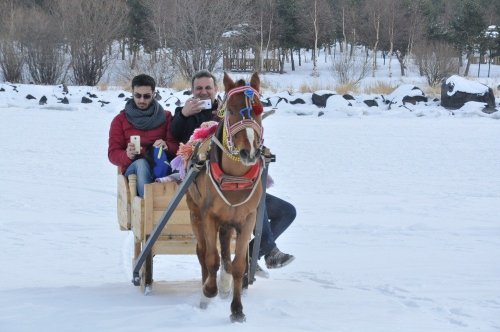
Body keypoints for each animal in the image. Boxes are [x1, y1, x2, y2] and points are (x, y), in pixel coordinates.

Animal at [187, 72, 266, 322]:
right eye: (230, 110)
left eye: (260, 109)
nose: (249, 152)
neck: (235, 178)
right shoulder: (208, 216)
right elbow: (210, 257)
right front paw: (209, 290)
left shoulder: (248, 219)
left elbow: (239, 264)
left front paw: (237, 309)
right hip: (195, 214)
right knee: (202, 251)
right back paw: (207, 291)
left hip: (229, 221)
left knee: (225, 253)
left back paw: (224, 283)